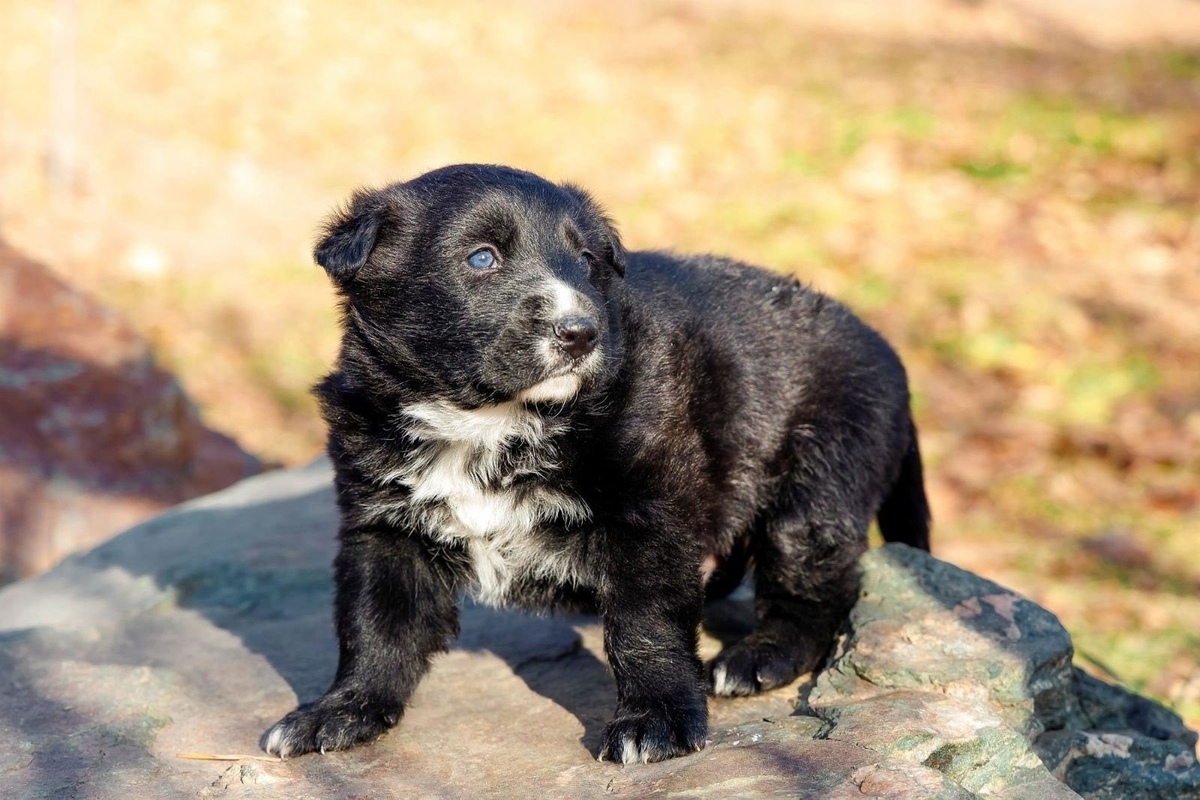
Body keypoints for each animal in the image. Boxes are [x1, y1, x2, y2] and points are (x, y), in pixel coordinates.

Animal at [267, 160, 931, 762]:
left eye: (587, 261)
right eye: (481, 259)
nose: (581, 332)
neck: (490, 419)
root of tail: (891, 356)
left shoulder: (649, 511)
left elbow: (647, 624)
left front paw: (656, 723)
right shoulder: (383, 523)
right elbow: (375, 624)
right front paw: (340, 712)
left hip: (823, 466)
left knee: (812, 582)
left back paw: (757, 659)